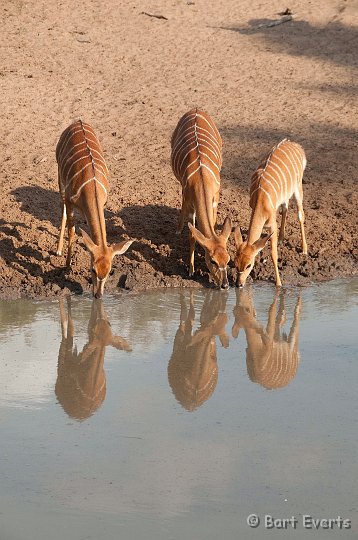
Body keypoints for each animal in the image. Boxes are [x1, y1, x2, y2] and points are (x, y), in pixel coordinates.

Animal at [55, 120, 134, 298]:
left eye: (109, 271)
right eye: (92, 269)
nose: (98, 295)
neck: (91, 187)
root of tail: (78, 121)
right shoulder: (70, 200)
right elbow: (72, 230)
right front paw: (67, 265)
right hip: (59, 177)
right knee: (62, 209)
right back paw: (58, 251)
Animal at [171, 107, 232, 288]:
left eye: (228, 259)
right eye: (212, 261)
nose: (225, 285)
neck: (202, 178)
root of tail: (196, 110)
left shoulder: (214, 200)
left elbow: (212, 223)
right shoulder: (191, 203)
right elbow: (192, 235)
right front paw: (191, 270)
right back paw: (178, 229)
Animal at [235, 141, 308, 288]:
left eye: (249, 265)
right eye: (235, 264)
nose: (239, 284)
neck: (260, 198)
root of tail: (297, 146)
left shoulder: (271, 224)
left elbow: (273, 254)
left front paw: (278, 283)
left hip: (298, 187)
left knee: (300, 214)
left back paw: (304, 249)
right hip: (286, 195)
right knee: (285, 208)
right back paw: (281, 239)